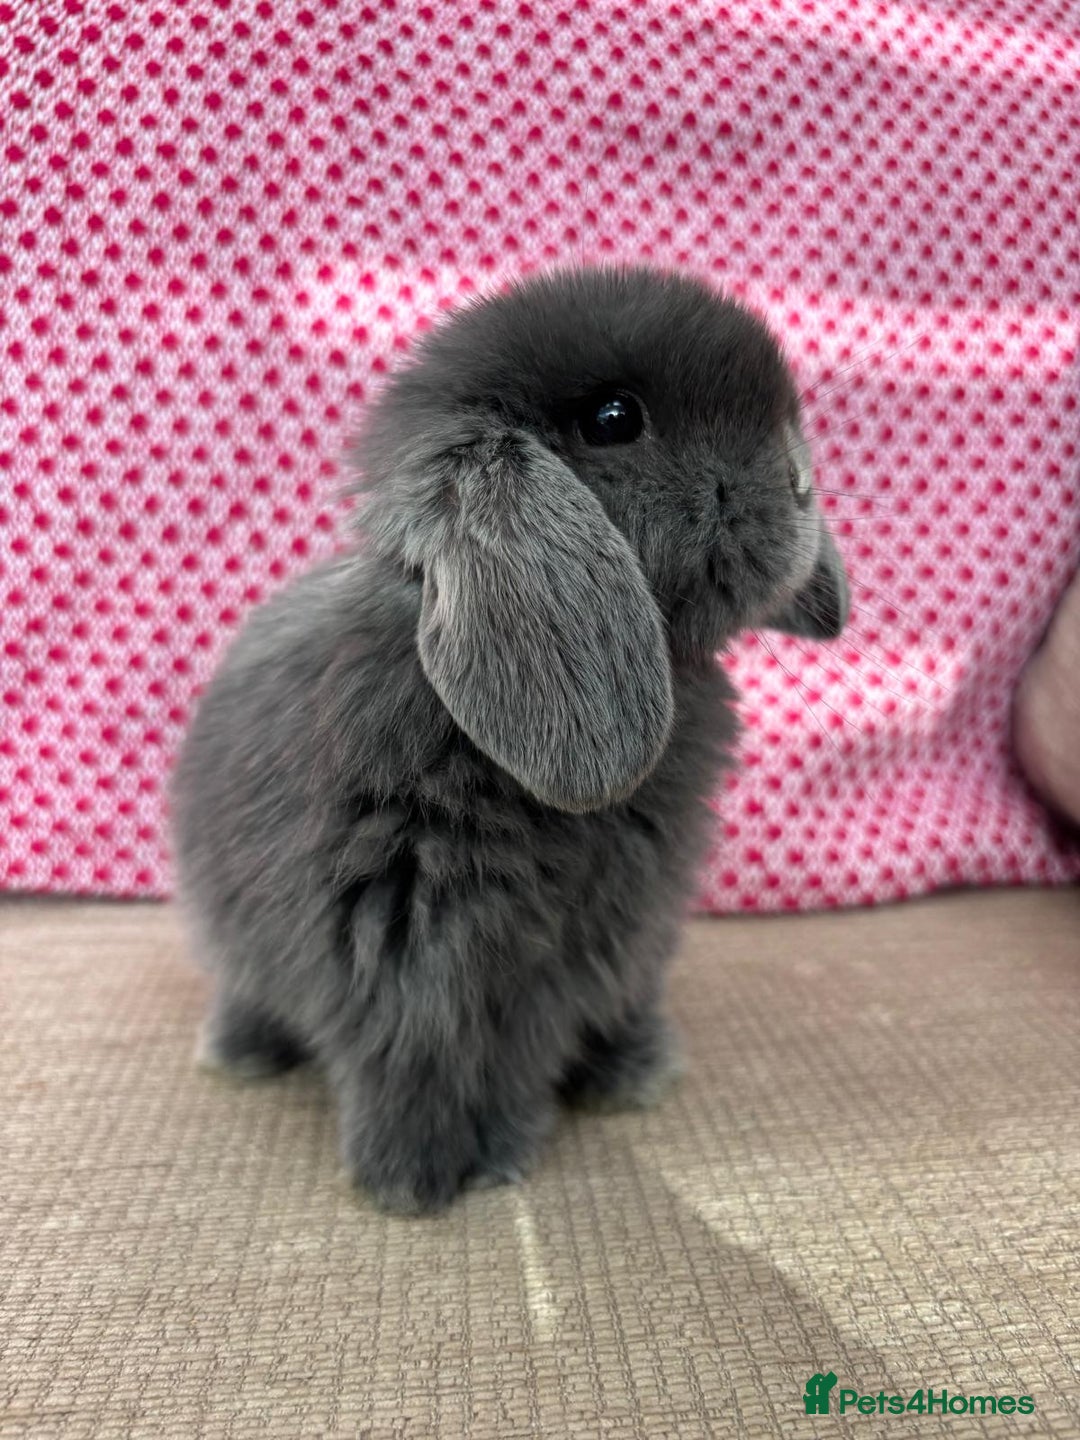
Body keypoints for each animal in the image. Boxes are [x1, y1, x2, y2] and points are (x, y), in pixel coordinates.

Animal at [170, 265, 849, 1215]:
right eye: (614, 419)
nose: (798, 482)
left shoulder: (622, 930)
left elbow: (594, 1006)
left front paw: (631, 1078)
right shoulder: (407, 957)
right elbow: (421, 1060)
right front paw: (423, 1176)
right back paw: (241, 1056)